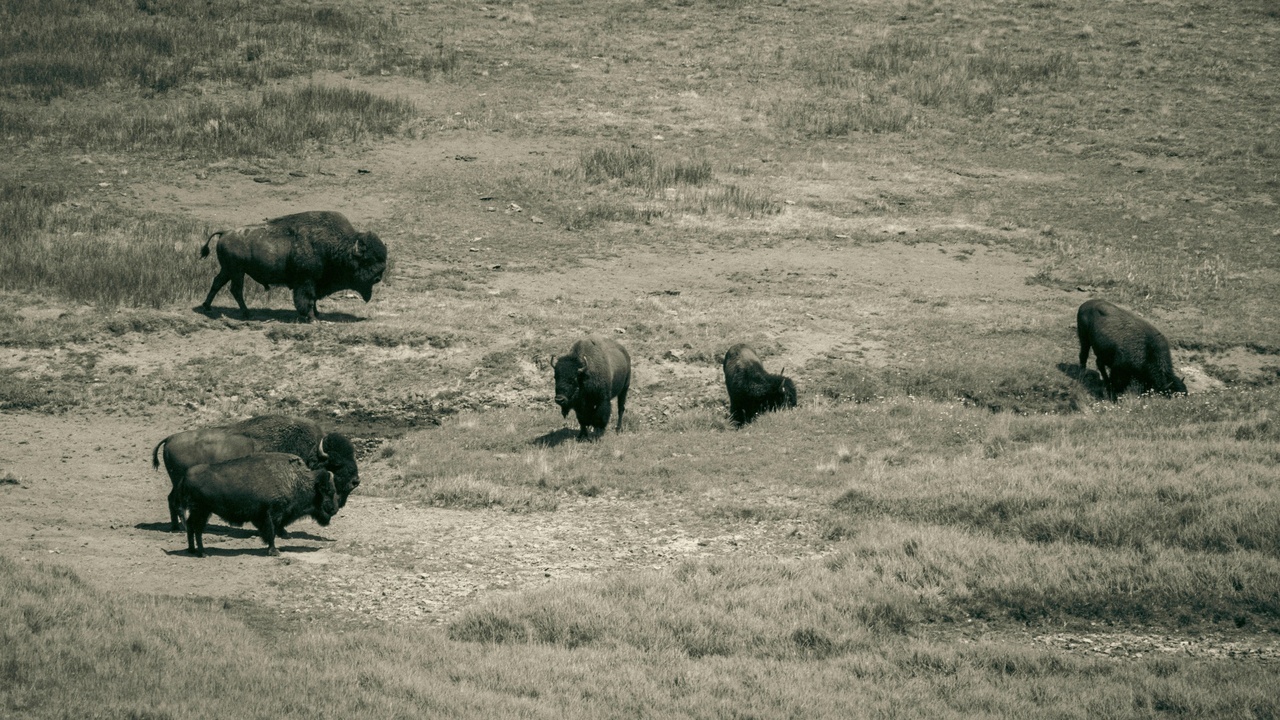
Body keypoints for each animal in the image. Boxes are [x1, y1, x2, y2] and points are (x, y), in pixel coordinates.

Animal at [153, 415, 359, 531]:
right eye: (337, 463)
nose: (355, 481)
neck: (311, 452)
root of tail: (170, 438)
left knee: (171, 499)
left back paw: (176, 527)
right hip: (179, 482)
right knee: (177, 502)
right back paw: (182, 527)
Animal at [179, 453, 338, 557]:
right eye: (329, 490)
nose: (335, 509)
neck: (296, 480)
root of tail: (185, 476)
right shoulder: (272, 514)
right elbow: (272, 532)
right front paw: (274, 551)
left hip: (200, 511)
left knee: (191, 526)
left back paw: (192, 550)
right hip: (201, 511)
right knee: (197, 529)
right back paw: (202, 553)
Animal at [200, 210, 387, 321]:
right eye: (367, 261)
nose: (378, 277)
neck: (337, 246)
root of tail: (225, 232)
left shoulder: (315, 282)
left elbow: (314, 299)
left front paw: (317, 314)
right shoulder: (306, 281)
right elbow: (307, 299)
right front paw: (312, 319)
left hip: (228, 270)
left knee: (217, 283)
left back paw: (207, 307)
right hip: (237, 272)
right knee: (236, 290)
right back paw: (247, 313)